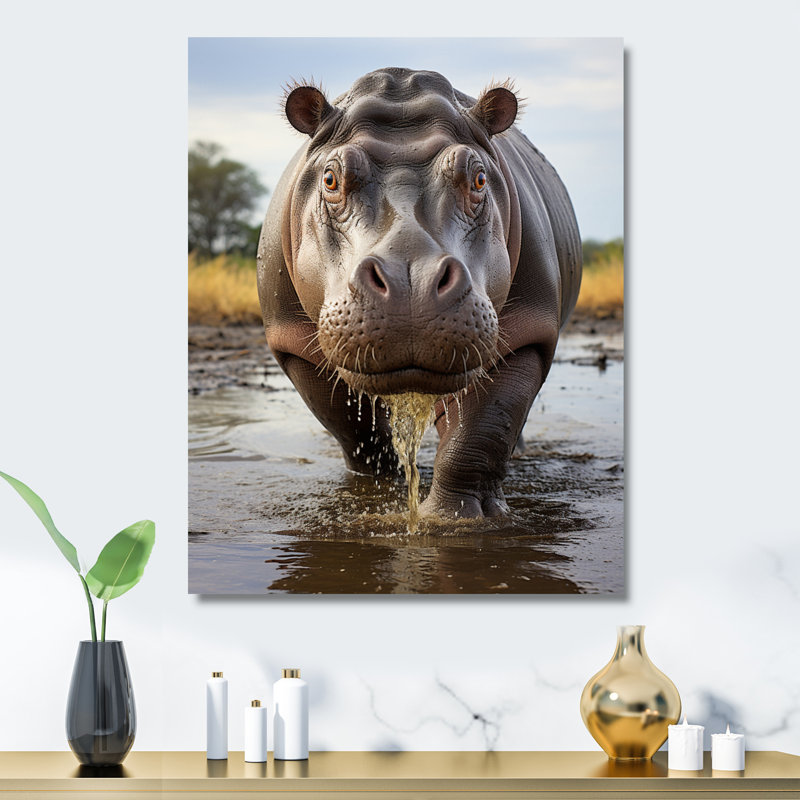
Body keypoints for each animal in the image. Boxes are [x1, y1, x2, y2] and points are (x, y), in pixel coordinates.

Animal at [257, 68, 581, 518]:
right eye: (330, 178)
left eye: (480, 177)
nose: (412, 281)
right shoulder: (293, 344)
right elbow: (359, 435)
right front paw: (373, 502)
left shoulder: (526, 335)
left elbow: (480, 433)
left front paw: (453, 521)